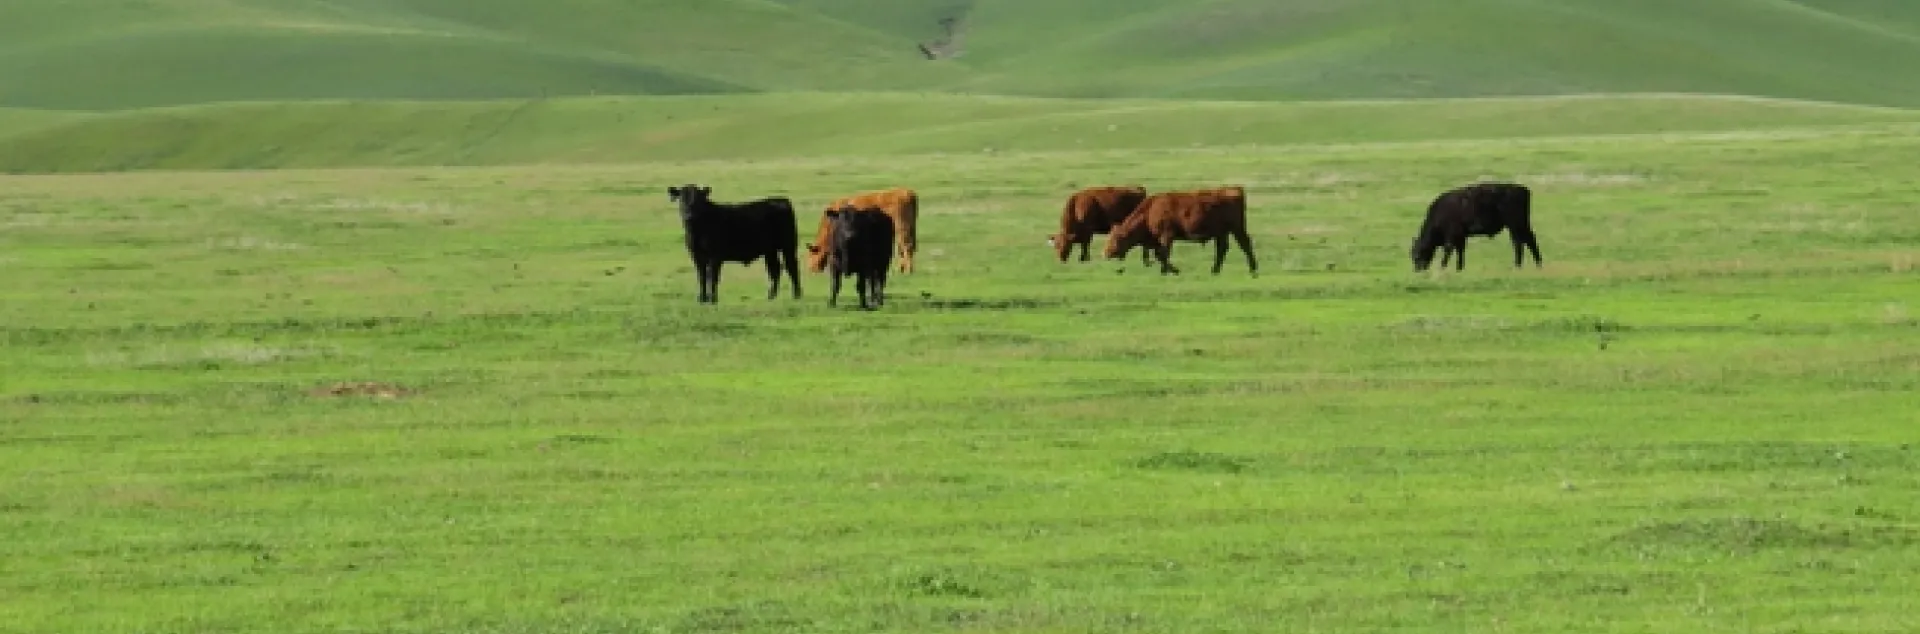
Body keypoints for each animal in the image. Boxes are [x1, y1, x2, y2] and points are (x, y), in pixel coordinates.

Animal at [667, 184, 802, 304]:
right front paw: (702, 299)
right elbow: (702, 277)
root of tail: (780, 200)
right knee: (775, 270)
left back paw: (796, 295)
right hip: (770, 251)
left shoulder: (715, 257)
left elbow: (713, 277)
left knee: (792, 267)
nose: (689, 215)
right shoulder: (696, 256)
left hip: (788, 246)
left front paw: (712, 300)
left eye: (698, 201)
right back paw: (771, 296)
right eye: (681, 199)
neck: (697, 229)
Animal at [1102, 186, 1258, 276]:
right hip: (1222, 233)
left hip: (1237, 229)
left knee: (1245, 245)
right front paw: (1169, 270)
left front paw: (1169, 271)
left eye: (1116, 238)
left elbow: (1163, 254)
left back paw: (1253, 270)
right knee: (1222, 249)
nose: (1105, 253)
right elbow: (1160, 254)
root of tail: (1234, 189)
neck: (1149, 212)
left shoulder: (1166, 236)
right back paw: (1215, 271)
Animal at [1409, 182, 1543, 272]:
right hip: (1519, 225)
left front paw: (1443, 267)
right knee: (1526, 241)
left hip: (1515, 225)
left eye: (1417, 255)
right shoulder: (1461, 237)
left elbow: (1448, 250)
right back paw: (1536, 264)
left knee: (1520, 242)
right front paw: (1459, 268)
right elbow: (1460, 251)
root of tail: (1522, 189)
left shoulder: (1452, 236)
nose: (1417, 270)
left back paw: (1521, 265)